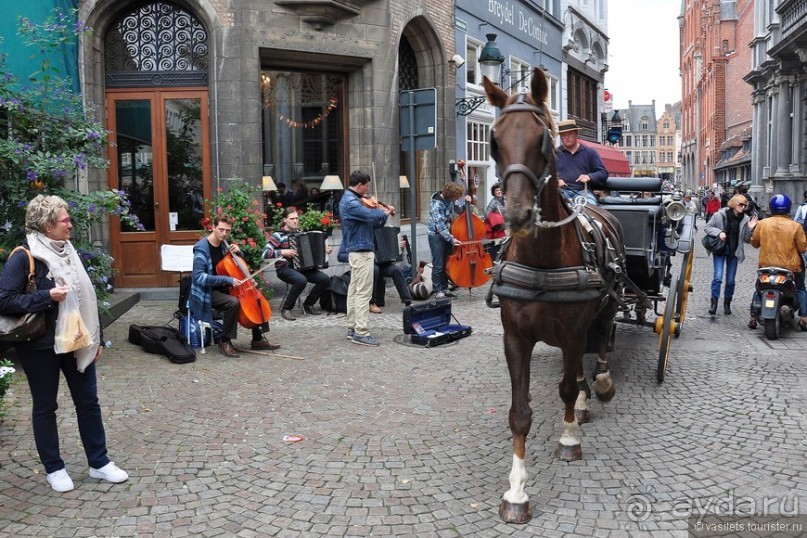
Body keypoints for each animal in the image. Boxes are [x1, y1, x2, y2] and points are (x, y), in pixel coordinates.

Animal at [482, 69, 628, 520]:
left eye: (543, 139)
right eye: (494, 140)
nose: (516, 214)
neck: (544, 260)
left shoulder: (574, 330)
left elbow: (565, 386)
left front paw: (568, 439)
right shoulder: (515, 337)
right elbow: (519, 413)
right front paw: (516, 491)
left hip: (606, 306)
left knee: (601, 344)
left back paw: (598, 385)